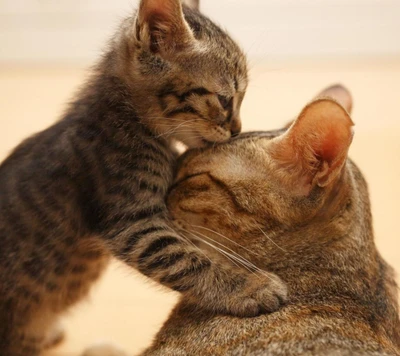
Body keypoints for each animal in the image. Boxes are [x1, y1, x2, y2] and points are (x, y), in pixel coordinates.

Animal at [0, 0, 288, 354]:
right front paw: (249, 286)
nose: (237, 130)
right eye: (224, 99)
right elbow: (187, 260)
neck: (129, 120)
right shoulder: (132, 222)